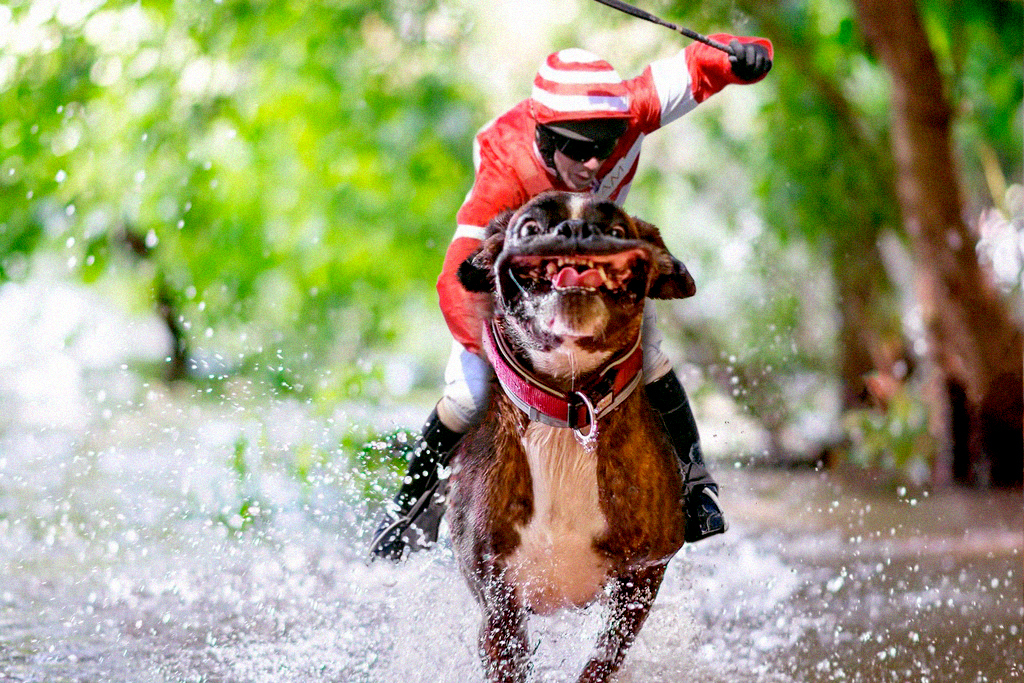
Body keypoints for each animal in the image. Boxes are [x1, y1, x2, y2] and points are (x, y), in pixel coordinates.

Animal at [450, 192, 696, 683]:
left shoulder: (643, 576)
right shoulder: (498, 605)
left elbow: (603, 660)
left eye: (618, 231)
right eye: (529, 228)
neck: (569, 406)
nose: (576, 231)